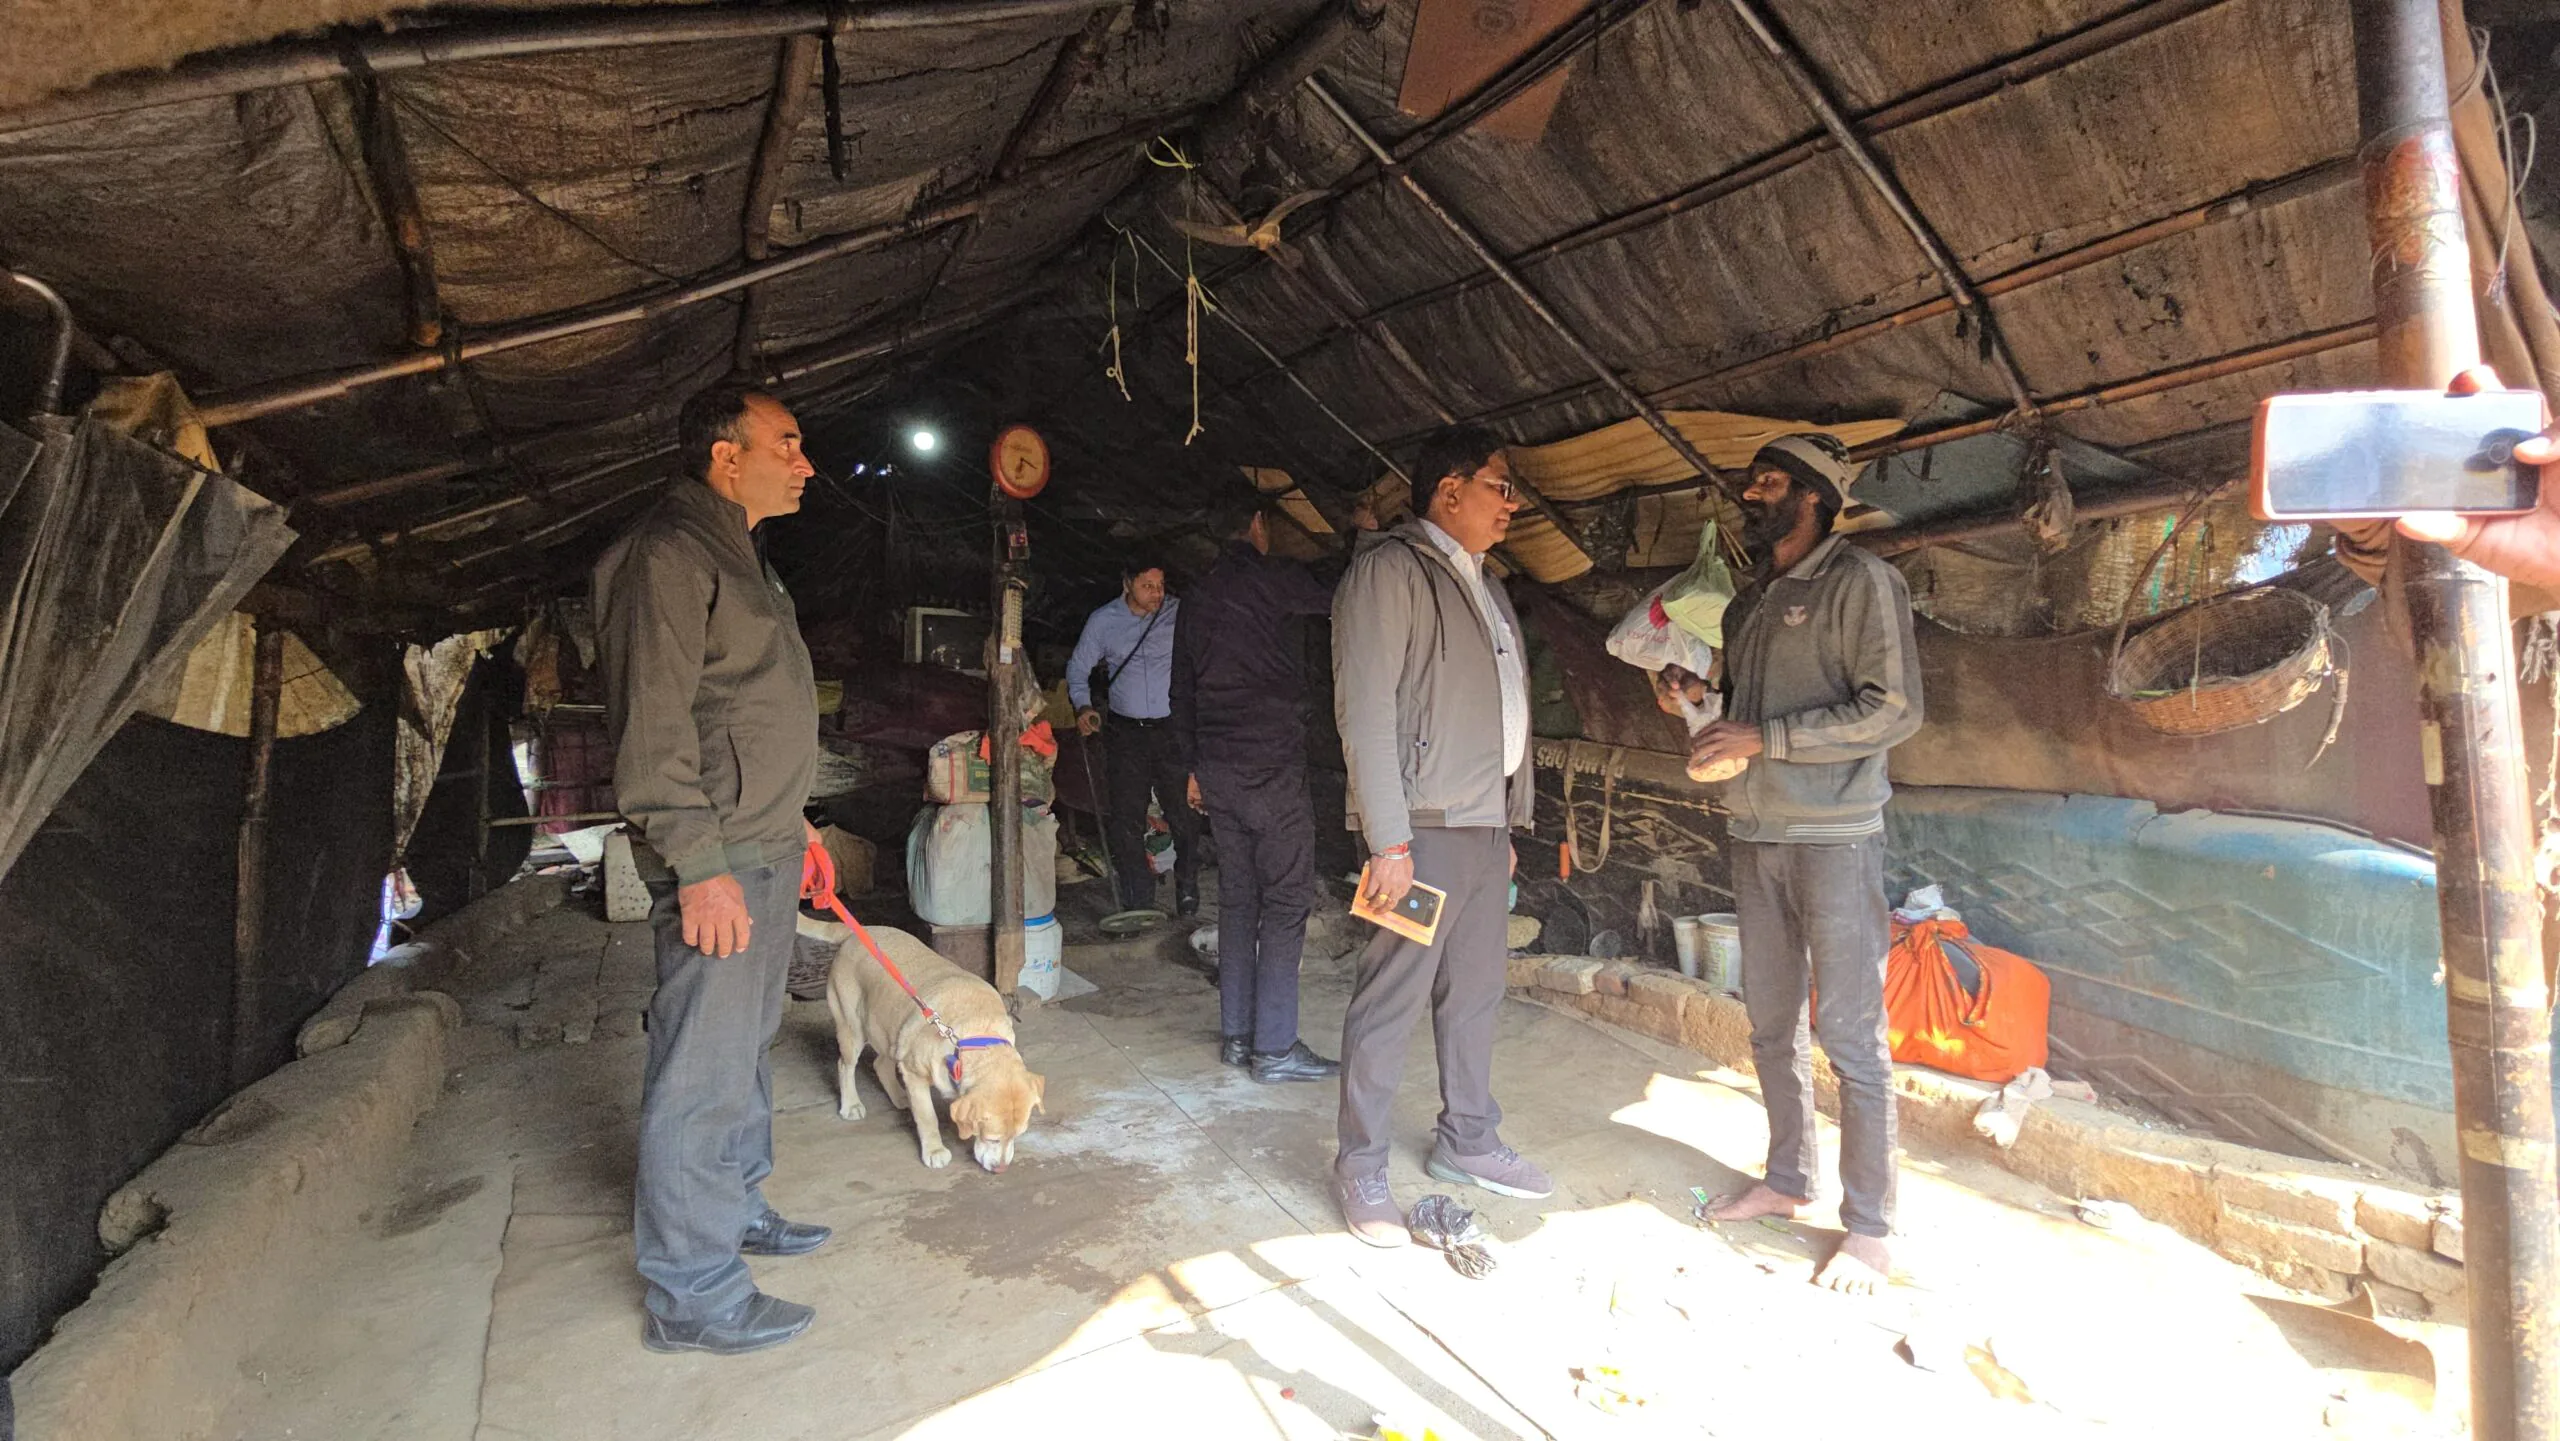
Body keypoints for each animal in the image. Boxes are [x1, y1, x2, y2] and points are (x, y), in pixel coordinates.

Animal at [802, 916, 1046, 1172]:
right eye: (992, 1139)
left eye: (1017, 1136)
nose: (1001, 1169)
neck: (978, 1034)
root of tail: (861, 930)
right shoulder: (914, 1073)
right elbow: (928, 1117)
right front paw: (934, 1150)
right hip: (853, 1028)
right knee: (845, 1065)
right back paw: (851, 1105)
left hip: (892, 1030)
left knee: (880, 1064)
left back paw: (900, 1097)